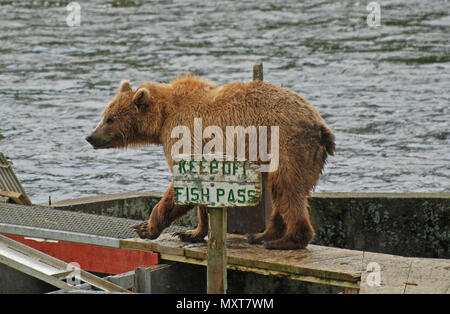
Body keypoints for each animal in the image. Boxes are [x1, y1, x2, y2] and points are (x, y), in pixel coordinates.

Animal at [87, 75, 334, 249]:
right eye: (104, 115)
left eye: (110, 119)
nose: (90, 137)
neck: (163, 116)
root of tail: (321, 126)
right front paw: (192, 232)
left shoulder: (184, 133)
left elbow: (184, 180)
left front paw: (145, 227)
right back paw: (262, 234)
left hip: (287, 143)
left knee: (286, 187)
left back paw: (284, 241)